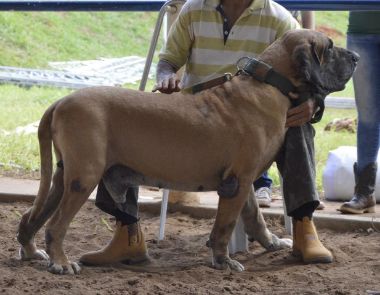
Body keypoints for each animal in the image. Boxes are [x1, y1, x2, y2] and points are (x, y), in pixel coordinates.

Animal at [16, 30, 358, 276]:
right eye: (329, 48)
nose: (355, 55)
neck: (270, 83)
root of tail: (60, 101)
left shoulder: (244, 180)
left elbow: (254, 217)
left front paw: (271, 242)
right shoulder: (237, 182)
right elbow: (224, 227)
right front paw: (223, 261)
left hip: (63, 178)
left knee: (30, 218)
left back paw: (32, 252)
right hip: (83, 177)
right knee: (55, 225)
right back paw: (61, 262)